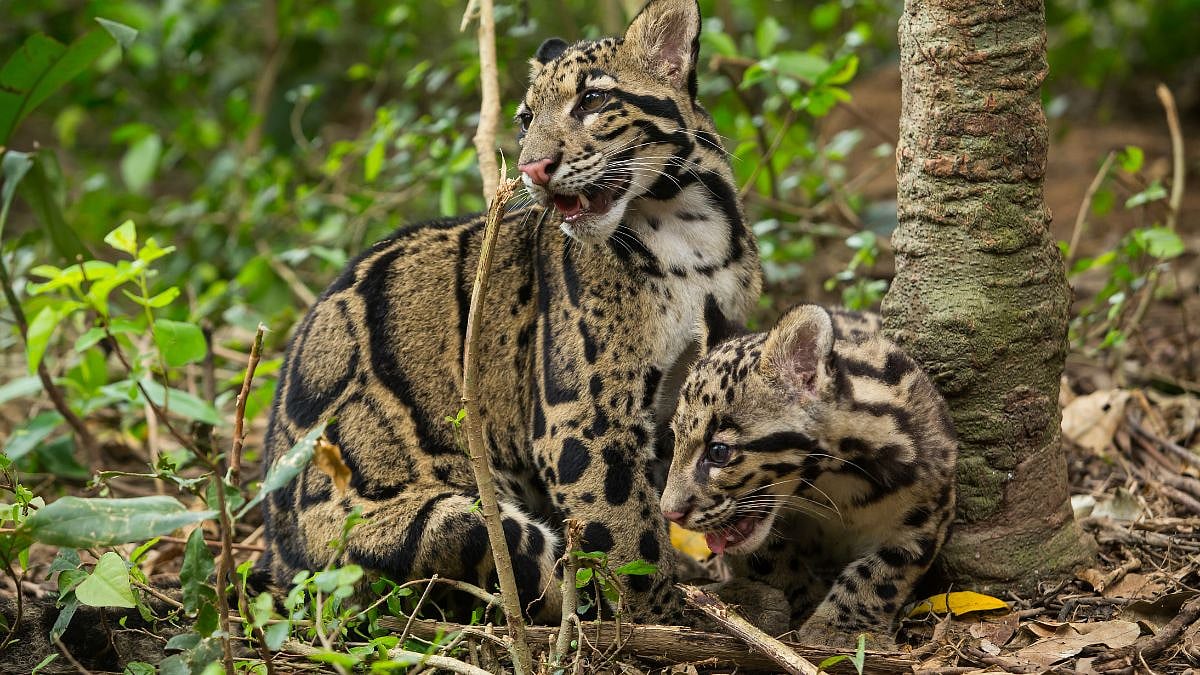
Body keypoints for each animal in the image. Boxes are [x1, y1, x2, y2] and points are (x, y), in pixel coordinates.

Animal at [260, 0, 761, 625]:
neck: (689, 230)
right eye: (525, 119)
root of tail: (279, 561)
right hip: (442, 523)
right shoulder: (583, 418)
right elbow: (627, 535)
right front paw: (662, 618)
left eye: (591, 101)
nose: (533, 168)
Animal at [661, 303, 957, 646]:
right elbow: (770, 558)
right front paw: (802, 600)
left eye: (718, 452)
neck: (835, 485)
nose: (669, 512)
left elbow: (884, 570)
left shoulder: (930, 508)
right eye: (675, 440)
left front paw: (842, 628)